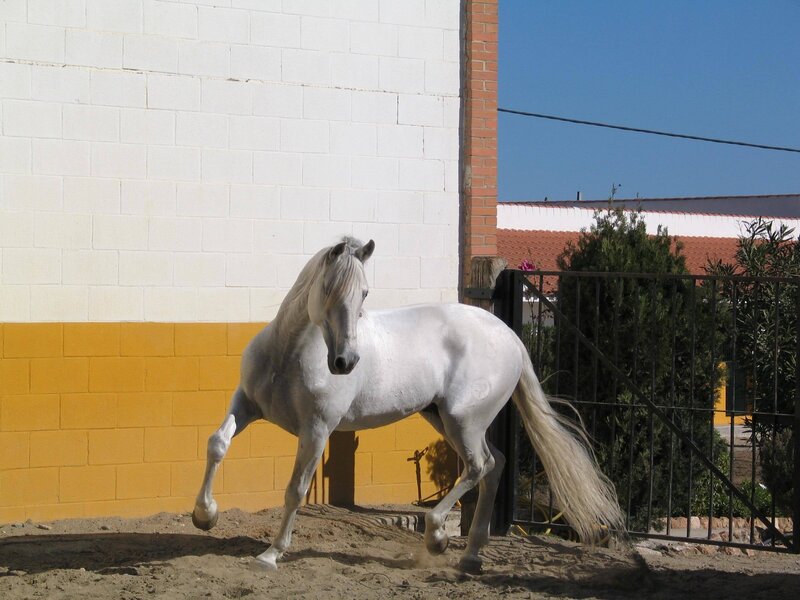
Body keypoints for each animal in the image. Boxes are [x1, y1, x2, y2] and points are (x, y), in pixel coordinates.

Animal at [192, 237, 624, 572]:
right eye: (328, 290)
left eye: (364, 293)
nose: (345, 362)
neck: (290, 354)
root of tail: (511, 338)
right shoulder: (246, 404)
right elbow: (217, 444)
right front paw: (204, 517)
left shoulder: (316, 430)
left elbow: (296, 489)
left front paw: (271, 554)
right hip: (446, 419)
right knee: (495, 464)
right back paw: (471, 556)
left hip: (462, 420)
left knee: (479, 466)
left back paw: (438, 537)